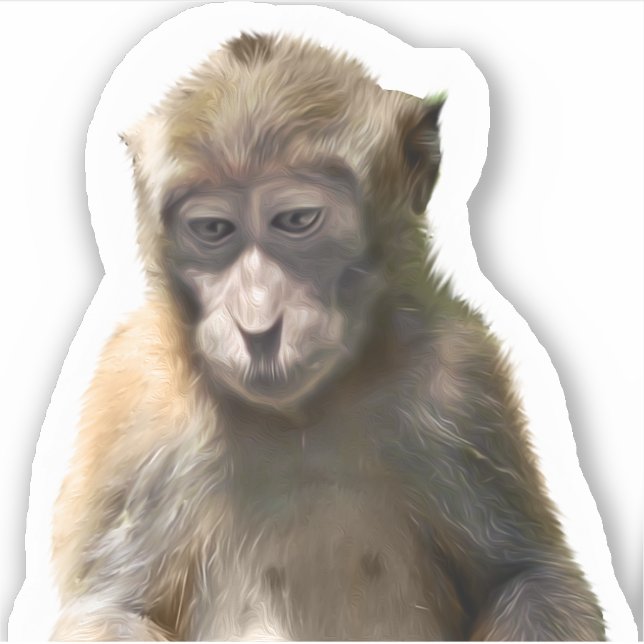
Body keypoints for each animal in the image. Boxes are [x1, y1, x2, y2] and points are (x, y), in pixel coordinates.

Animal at [50, 33, 606, 641]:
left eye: (296, 221)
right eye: (214, 229)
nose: (257, 321)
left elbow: (528, 577)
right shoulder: (139, 398)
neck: (299, 420)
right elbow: (111, 605)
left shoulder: (460, 381)